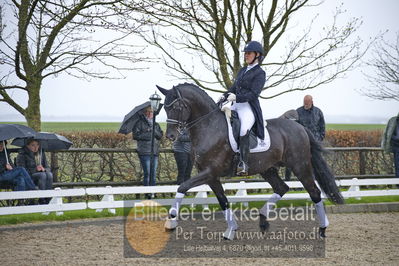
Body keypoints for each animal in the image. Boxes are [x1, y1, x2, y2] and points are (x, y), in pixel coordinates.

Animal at [158, 82, 346, 240]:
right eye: (165, 108)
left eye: (177, 106)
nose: (171, 136)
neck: (209, 126)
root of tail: (300, 127)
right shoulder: (211, 176)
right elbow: (222, 200)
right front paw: (231, 229)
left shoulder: (209, 172)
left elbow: (182, 187)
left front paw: (171, 221)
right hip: (267, 169)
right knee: (282, 188)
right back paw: (263, 221)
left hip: (300, 166)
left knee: (314, 192)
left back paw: (322, 229)